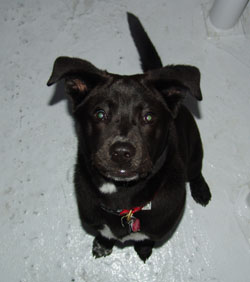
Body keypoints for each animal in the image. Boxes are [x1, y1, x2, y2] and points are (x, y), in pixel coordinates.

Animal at [47, 12, 211, 262]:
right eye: (100, 114)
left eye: (149, 117)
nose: (122, 152)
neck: (122, 198)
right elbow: (104, 234)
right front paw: (103, 244)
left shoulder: (157, 229)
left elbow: (145, 239)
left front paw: (143, 250)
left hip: (194, 148)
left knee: (195, 170)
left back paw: (201, 189)